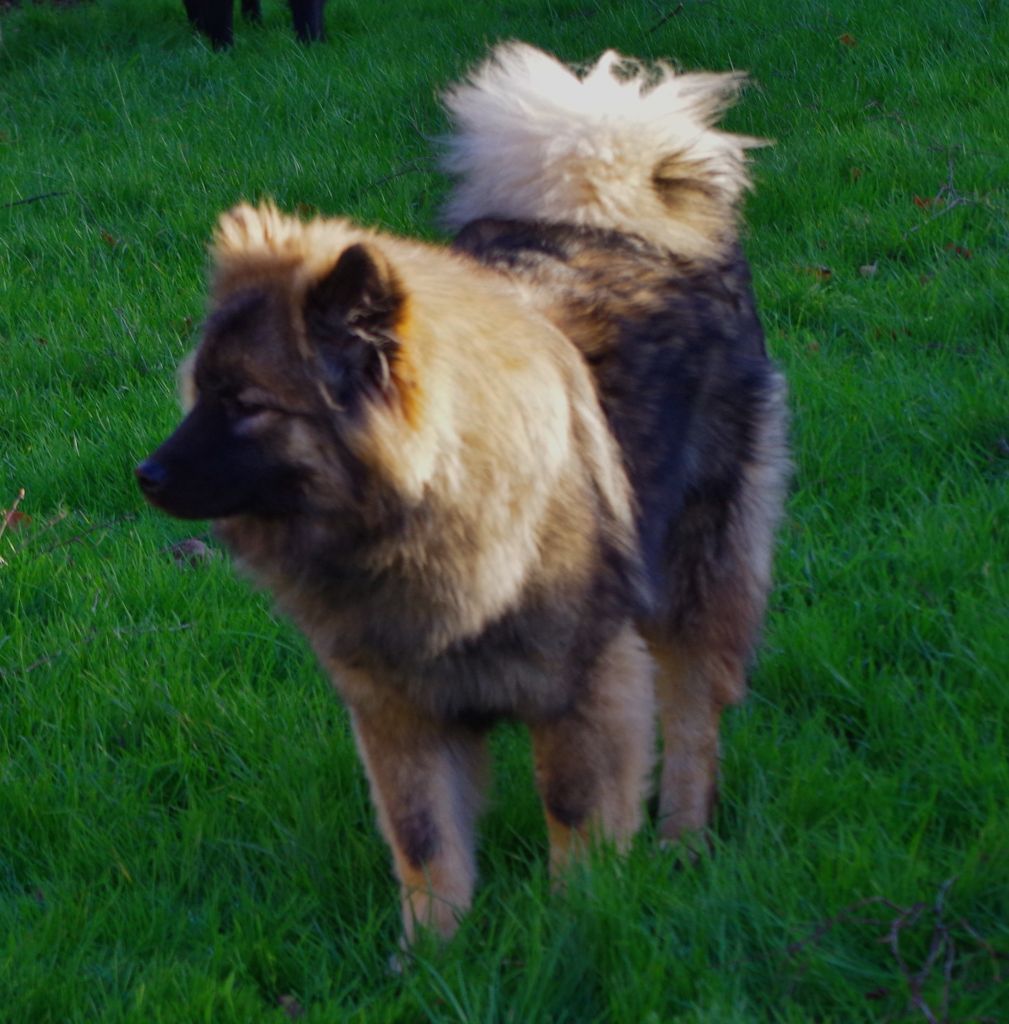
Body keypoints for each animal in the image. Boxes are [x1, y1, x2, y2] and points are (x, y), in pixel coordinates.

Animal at [137, 43, 789, 946]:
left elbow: (575, 811)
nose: (147, 476)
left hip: (699, 565)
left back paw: (684, 842)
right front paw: (431, 955)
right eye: (200, 394)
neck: (422, 514)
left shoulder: (583, 677)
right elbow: (425, 841)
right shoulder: (397, 705)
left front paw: (575, 924)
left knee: (696, 714)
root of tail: (633, 222)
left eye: (247, 405)